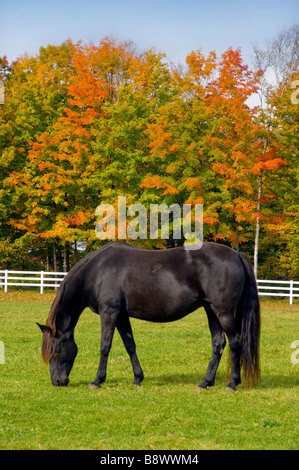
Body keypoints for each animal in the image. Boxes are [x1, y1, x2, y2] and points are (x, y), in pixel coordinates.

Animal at [37, 241, 260, 392]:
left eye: (55, 351)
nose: (57, 382)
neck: (97, 271)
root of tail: (236, 254)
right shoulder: (121, 316)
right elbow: (130, 345)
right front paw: (137, 378)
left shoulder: (109, 313)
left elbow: (105, 346)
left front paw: (97, 380)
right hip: (211, 310)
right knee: (218, 343)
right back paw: (206, 382)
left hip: (223, 313)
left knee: (235, 342)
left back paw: (232, 383)